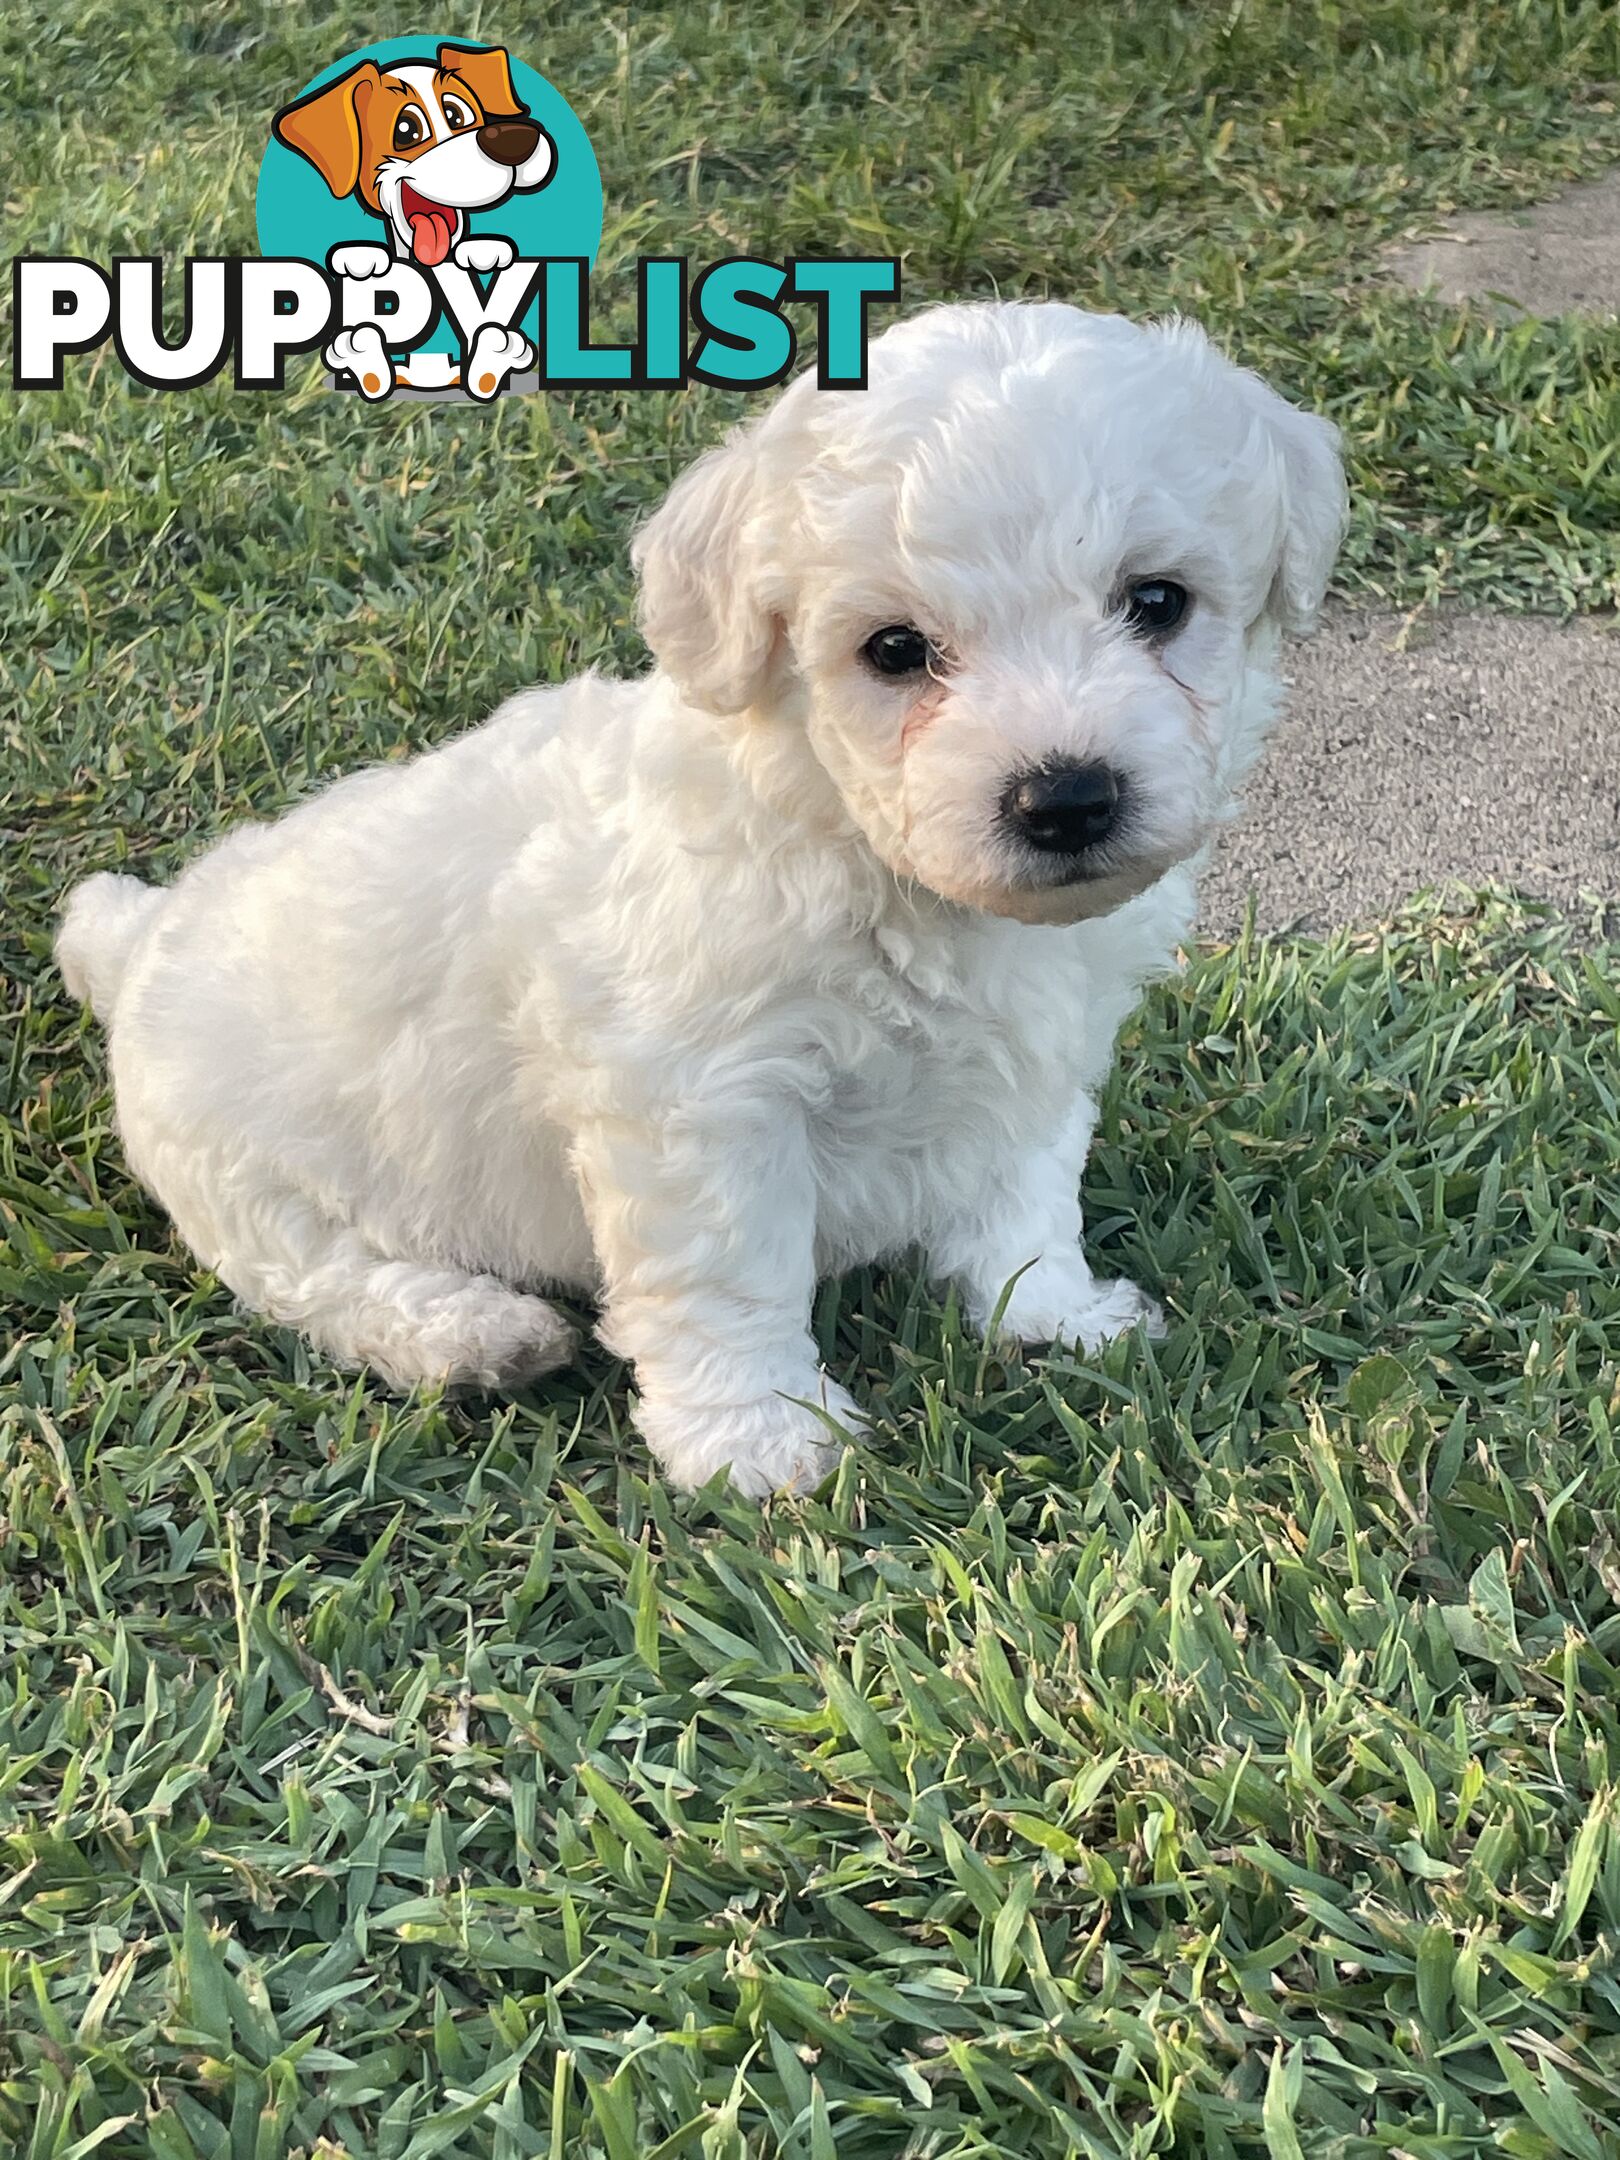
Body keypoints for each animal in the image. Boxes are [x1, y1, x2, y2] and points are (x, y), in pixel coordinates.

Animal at [57, 304, 1347, 1494]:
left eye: (1158, 602)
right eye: (894, 650)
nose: (1067, 798)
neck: (867, 859)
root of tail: (143, 939)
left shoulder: (1033, 1062)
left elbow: (1024, 1198)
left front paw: (1051, 1319)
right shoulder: (703, 1105)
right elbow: (730, 1276)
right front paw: (760, 1439)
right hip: (241, 1180)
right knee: (321, 1276)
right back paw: (473, 1334)